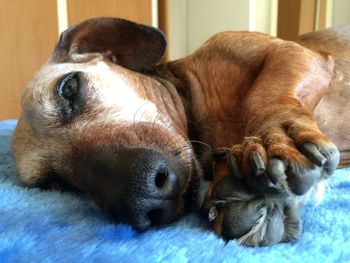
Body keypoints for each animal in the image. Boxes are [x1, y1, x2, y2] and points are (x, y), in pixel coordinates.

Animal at [12, 18, 348, 248]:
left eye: (68, 88)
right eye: (54, 183)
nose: (141, 200)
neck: (198, 112)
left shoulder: (294, 54)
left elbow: (264, 94)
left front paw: (275, 139)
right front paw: (240, 194)